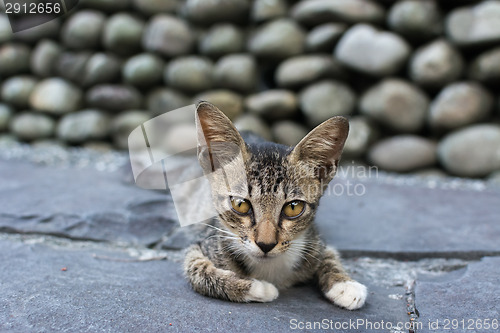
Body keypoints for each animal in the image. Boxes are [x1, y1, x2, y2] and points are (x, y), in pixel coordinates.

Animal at [185, 101, 368, 308]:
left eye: (293, 207)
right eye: (240, 204)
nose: (266, 244)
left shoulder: (314, 238)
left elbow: (329, 254)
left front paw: (345, 284)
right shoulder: (200, 245)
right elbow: (199, 271)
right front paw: (259, 288)